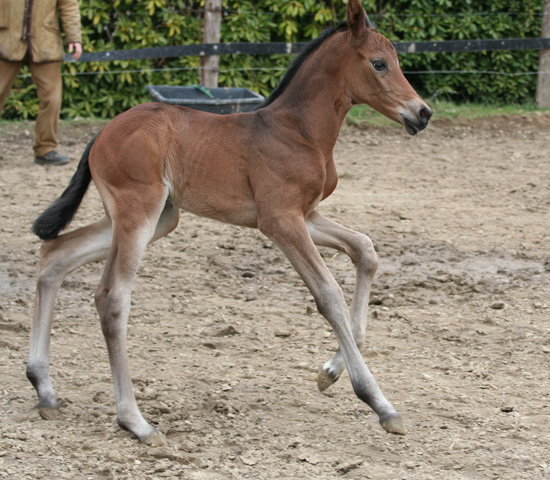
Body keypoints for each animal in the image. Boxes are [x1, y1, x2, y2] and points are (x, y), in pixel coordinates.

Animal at [28, 0, 434, 444]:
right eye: (379, 64)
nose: (423, 112)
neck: (299, 132)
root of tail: (102, 133)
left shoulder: (304, 215)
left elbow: (365, 249)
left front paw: (329, 371)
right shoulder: (281, 221)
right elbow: (329, 295)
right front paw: (379, 403)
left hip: (155, 218)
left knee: (55, 254)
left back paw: (44, 389)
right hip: (139, 212)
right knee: (111, 298)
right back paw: (134, 420)